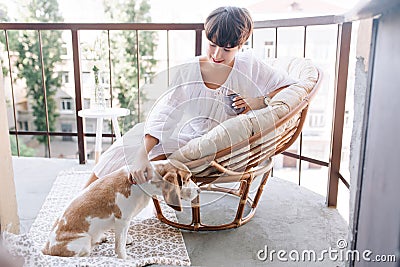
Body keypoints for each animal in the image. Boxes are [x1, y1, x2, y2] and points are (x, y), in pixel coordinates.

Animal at [43, 160, 199, 260]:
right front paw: (124, 258)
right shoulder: (122, 220)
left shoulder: (125, 222)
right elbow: (120, 245)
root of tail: (45, 248)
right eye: (187, 179)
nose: (198, 190)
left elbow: (123, 237)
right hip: (84, 241)